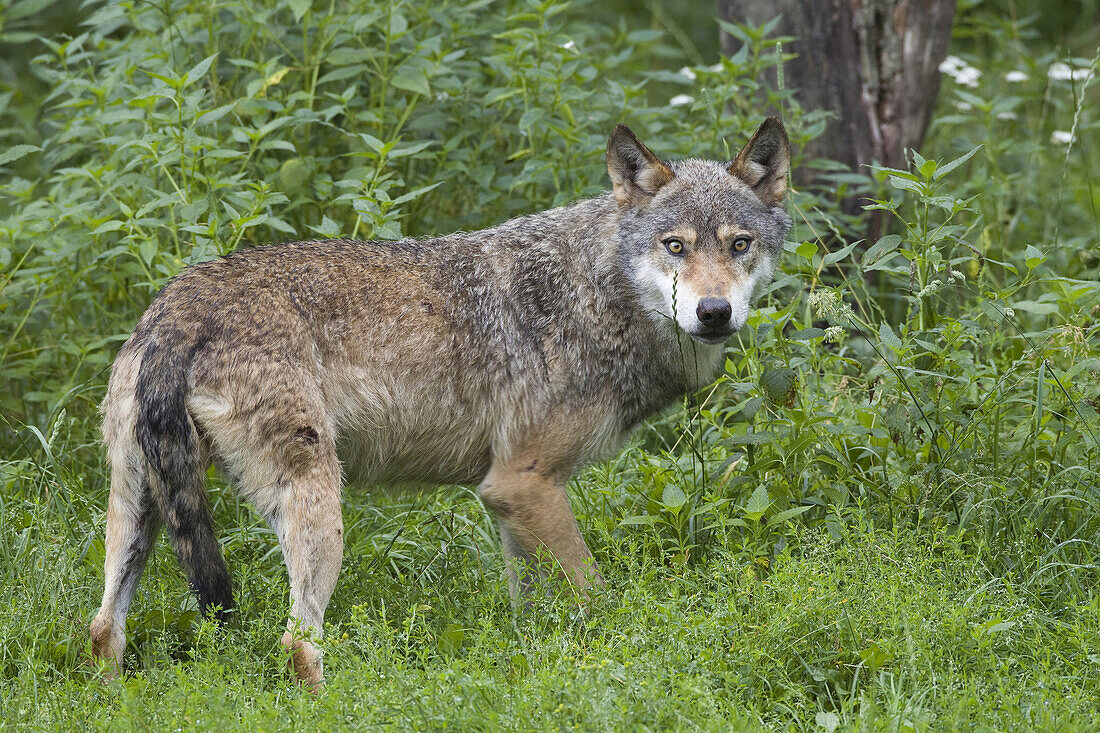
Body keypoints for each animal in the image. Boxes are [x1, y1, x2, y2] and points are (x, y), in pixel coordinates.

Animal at [88, 119, 792, 686]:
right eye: (675, 246)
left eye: (739, 245)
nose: (713, 312)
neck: (596, 292)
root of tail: (176, 313)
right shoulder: (522, 484)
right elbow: (597, 597)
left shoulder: (513, 500)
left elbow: (530, 607)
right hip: (319, 510)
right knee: (297, 643)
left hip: (141, 512)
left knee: (102, 631)